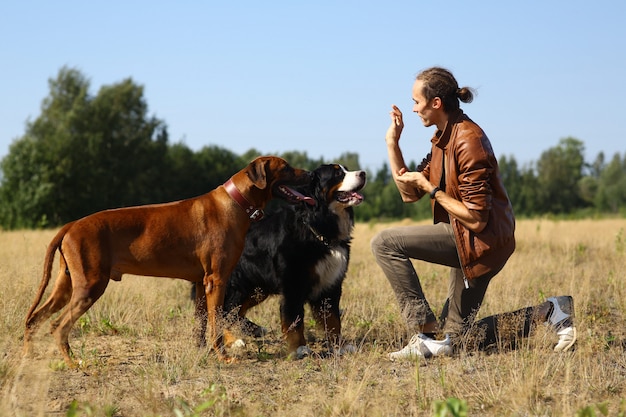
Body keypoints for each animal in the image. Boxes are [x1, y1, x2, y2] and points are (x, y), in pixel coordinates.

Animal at [24, 155, 312, 364]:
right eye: (286, 168)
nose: (310, 174)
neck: (235, 203)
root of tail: (71, 225)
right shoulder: (216, 280)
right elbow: (216, 324)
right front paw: (222, 356)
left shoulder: (201, 283)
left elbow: (201, 324)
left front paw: (201, 353)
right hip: (90, 285)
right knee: (58, 326)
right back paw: (74, 363)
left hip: (66, 285)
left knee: (34, 319)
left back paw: (29, 357)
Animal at [222, 162, 364, 358]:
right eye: (337, 173)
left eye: (347, 169)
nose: (363, 173)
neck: (318, 227)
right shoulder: (294, 283)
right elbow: (294, 317)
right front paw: (299, 348)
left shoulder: (330, 283)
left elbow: (333, 319)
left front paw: (339, 346)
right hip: (238, 286)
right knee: (225, 311)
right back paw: (235, 340)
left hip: (256, 288)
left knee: (235, 312)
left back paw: (248, 332)